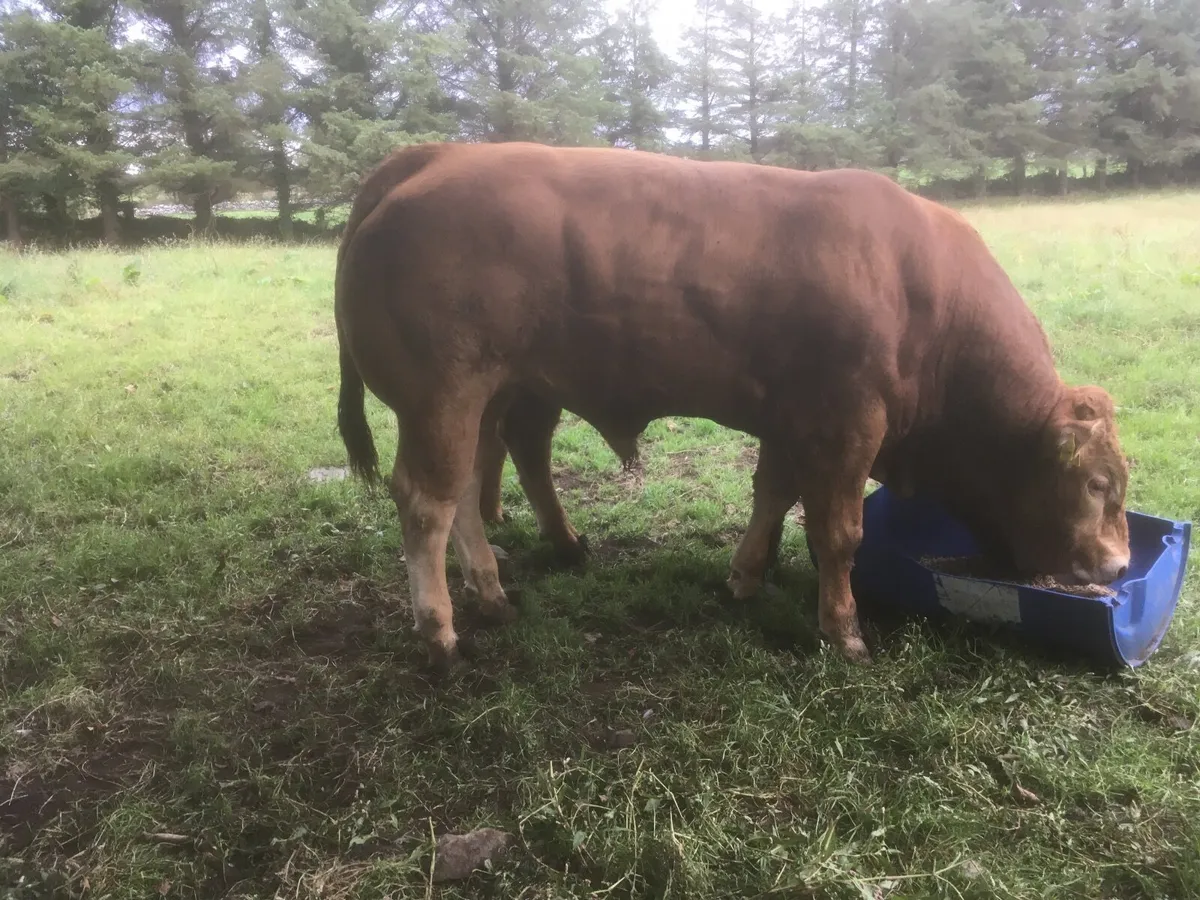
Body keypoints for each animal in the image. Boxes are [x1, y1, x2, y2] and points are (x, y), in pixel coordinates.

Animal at [333, 141, 1131, 672]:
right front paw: (842, 629)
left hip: (489, 393)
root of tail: (432, 157)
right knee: (427, 502)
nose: (1119, 566)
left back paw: (493, 591)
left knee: (470, 485)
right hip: (442, 396)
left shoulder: (794, 421)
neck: (923, 295)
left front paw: (746, 576)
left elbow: (772, 495)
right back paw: (439, 627)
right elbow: (837, 533)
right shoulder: (848, 425)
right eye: (1098, 485)